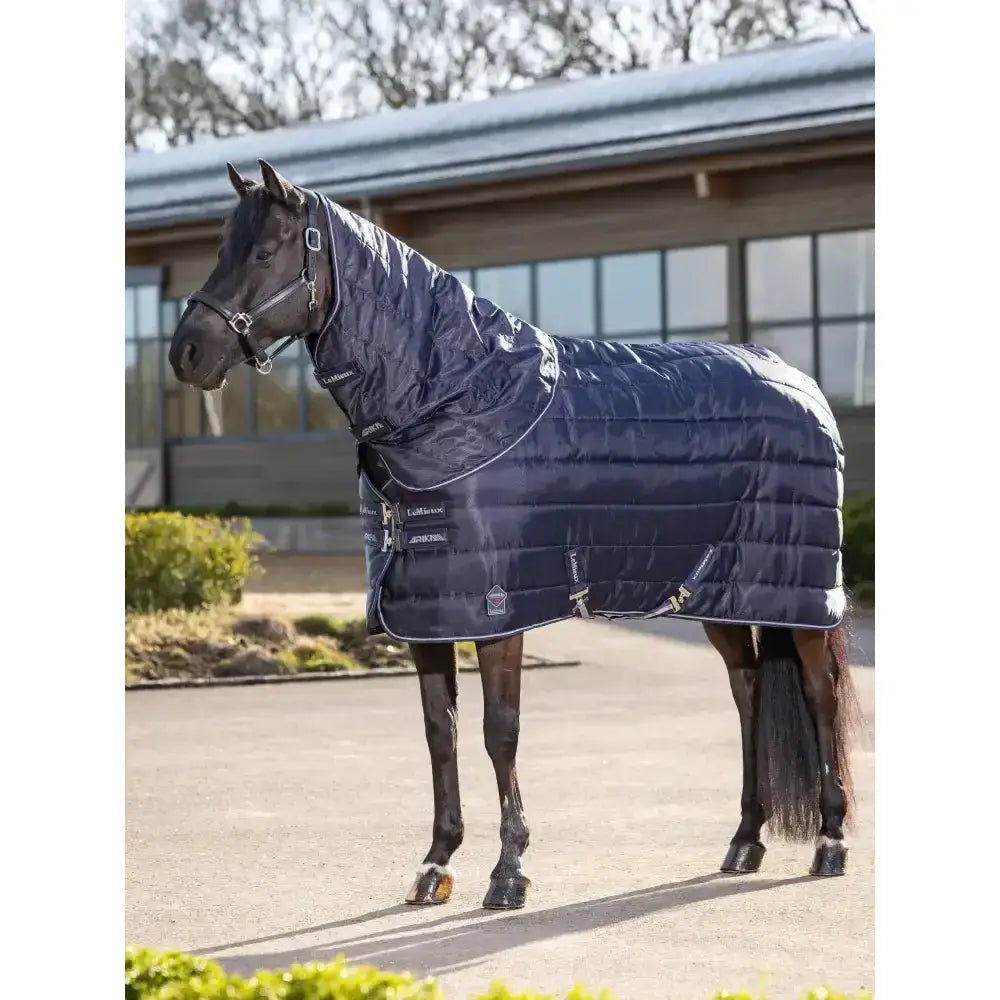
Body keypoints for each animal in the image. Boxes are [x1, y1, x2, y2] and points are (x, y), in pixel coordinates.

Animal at [168, 159, 861, 911]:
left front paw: (509, 869)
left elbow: (499, 732)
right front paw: (436, 863)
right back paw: (744, 840)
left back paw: (830, 842)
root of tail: (800, 384)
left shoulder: (498, 610)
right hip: (722, 592)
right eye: (221, 249)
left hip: (798, 596)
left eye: (265, 252)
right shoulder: (427, 614)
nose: (186, 352)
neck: (459, 398)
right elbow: (439, 733)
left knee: (819, 694)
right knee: (748, 692)